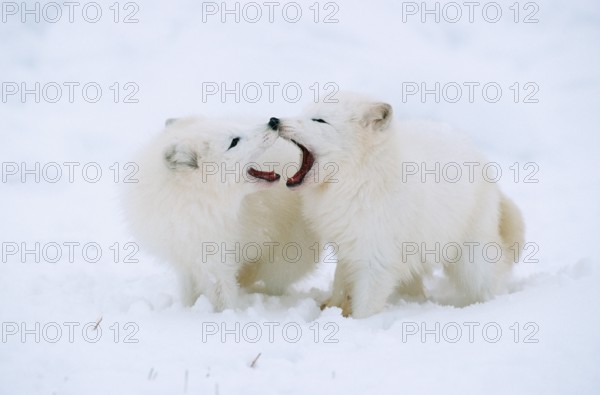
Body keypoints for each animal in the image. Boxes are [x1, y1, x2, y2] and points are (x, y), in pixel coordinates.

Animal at [122, 116, 318, 310]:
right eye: (234, 142)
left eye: (236, 127)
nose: (273, 121)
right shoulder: (186, 259)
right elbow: (188, 293)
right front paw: (187, 310)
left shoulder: (217, 261)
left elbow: (224, 298)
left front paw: (227, 314)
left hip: (282, 261)